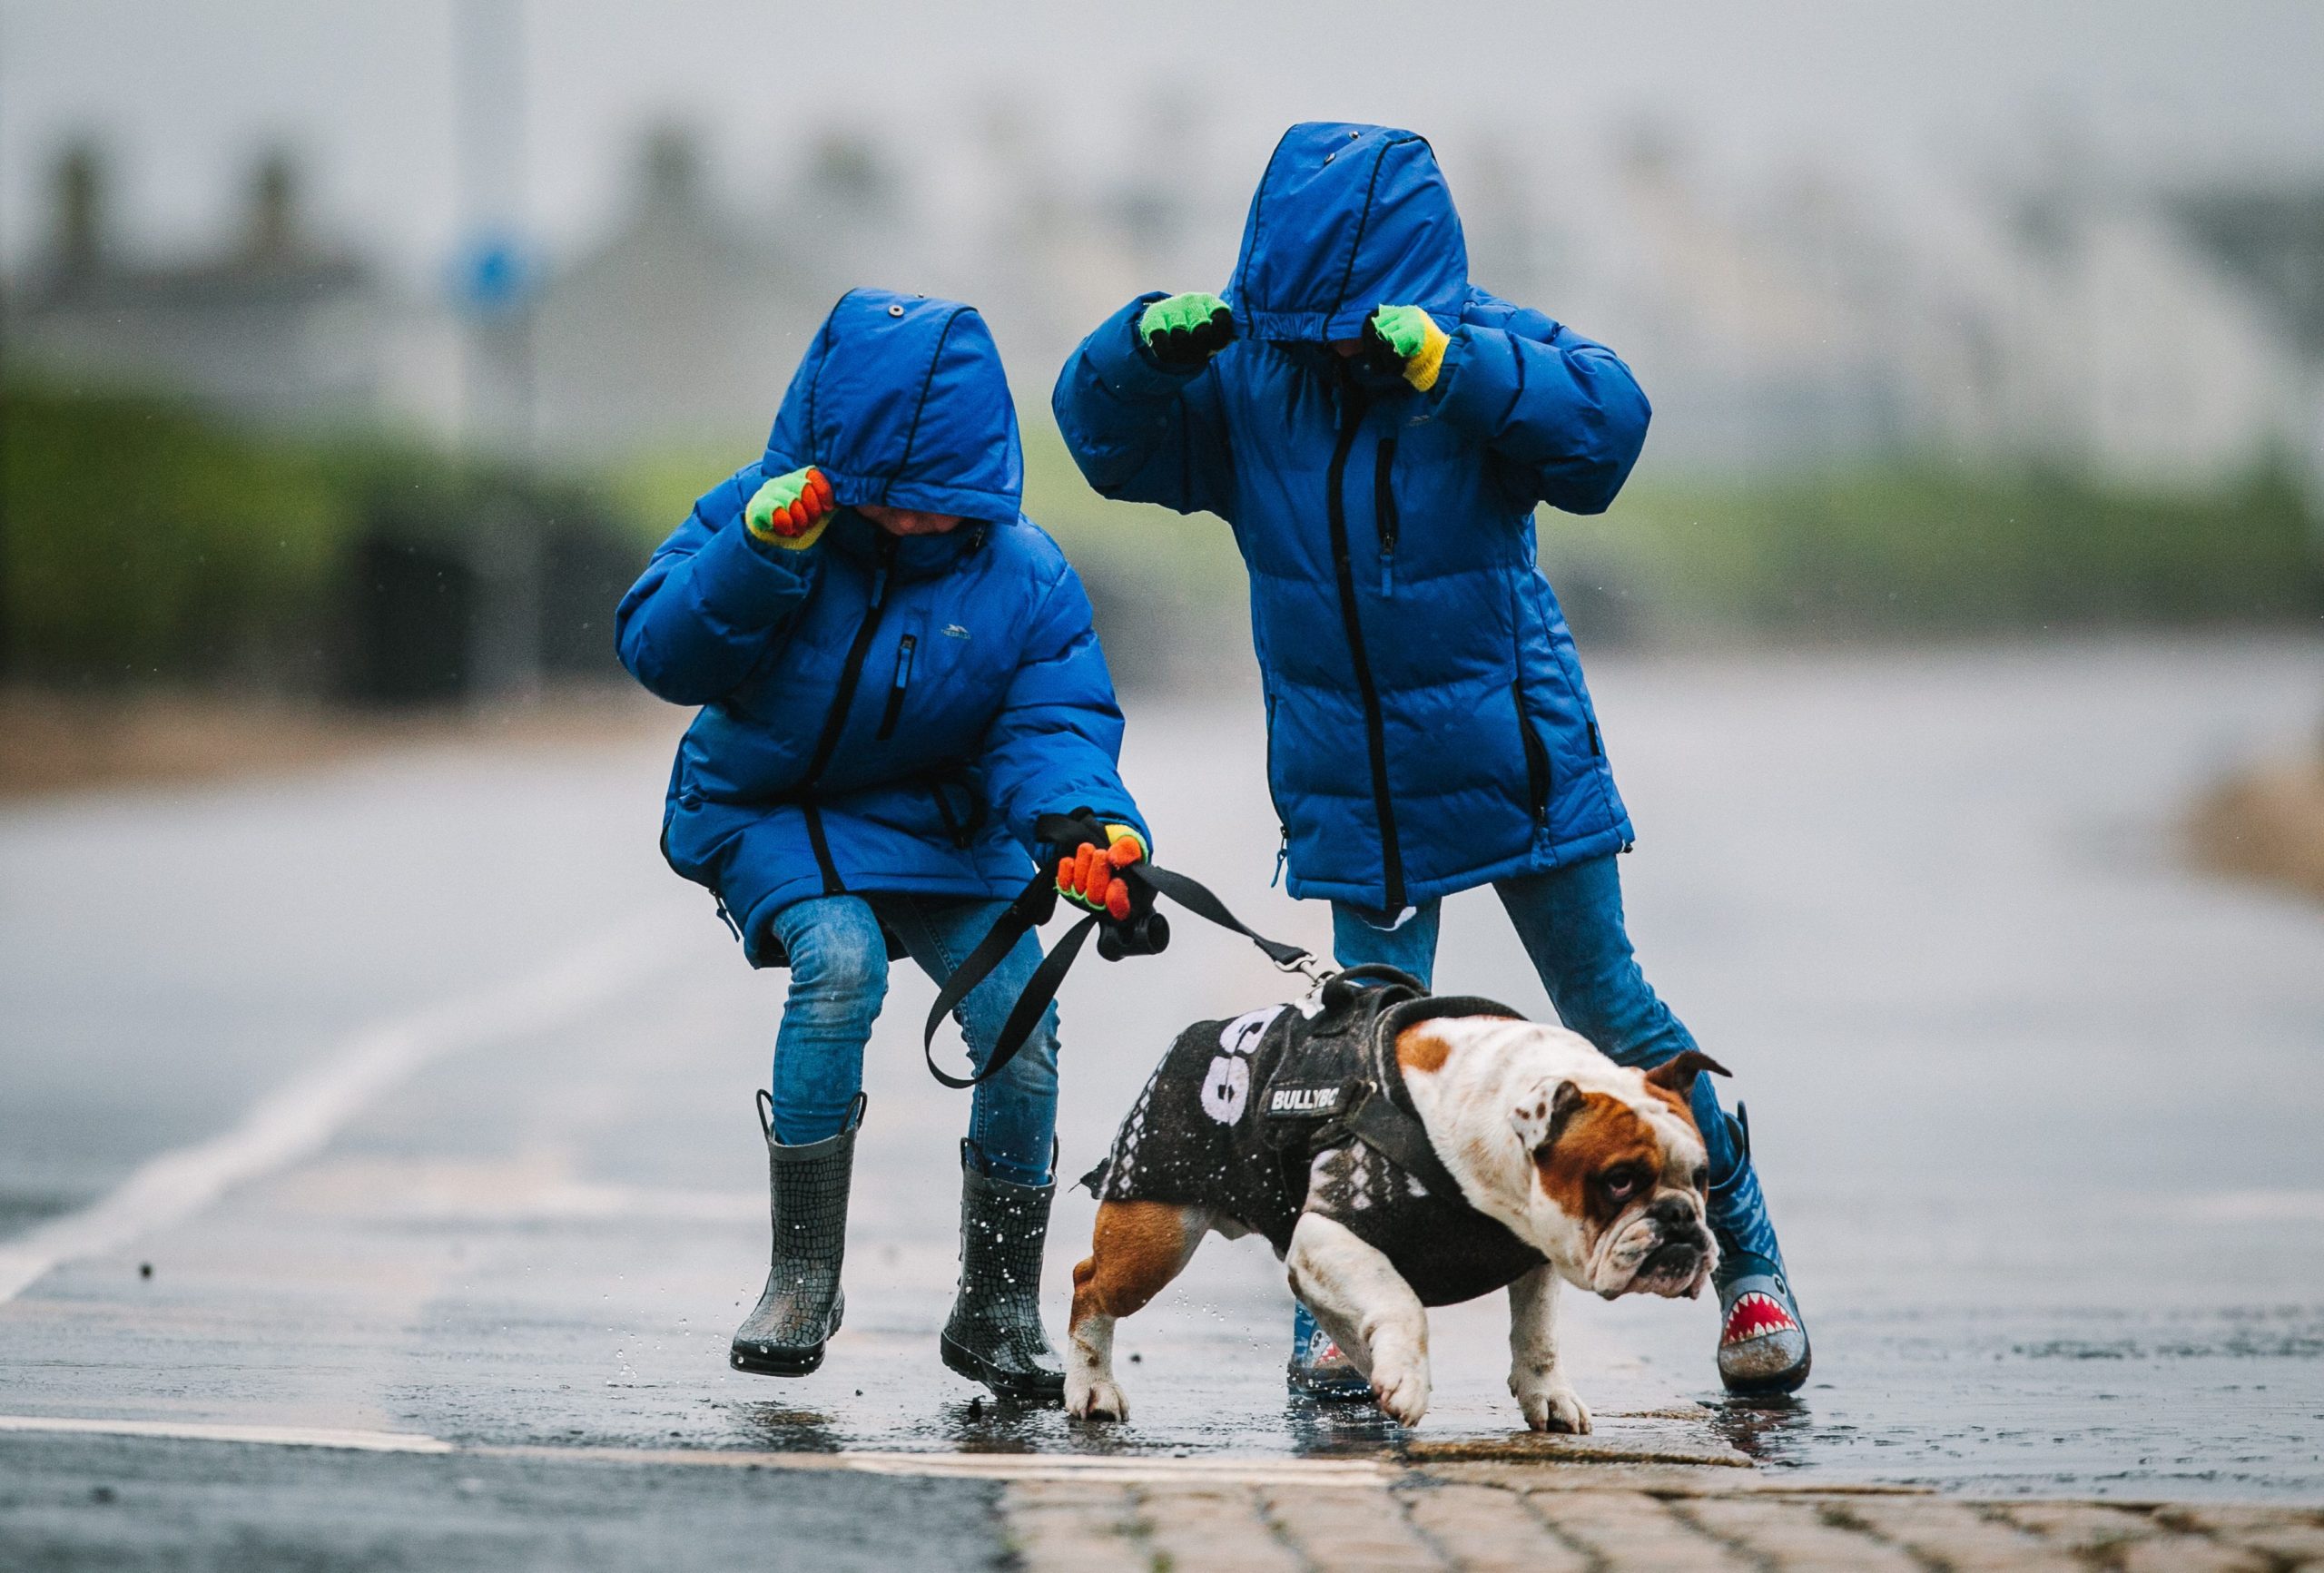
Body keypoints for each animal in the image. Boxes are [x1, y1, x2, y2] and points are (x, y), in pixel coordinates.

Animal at [1064, 1013, 1719, 1430]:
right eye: (1618, 1180)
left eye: (1703, 1175)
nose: (1681, 1217)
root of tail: (1196, 1037)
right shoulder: (1328, 1232)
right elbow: (1403, 1303)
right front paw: (1408, 1376)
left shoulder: (1533, 1251)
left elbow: (1538, 1335)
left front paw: (1549, 1396)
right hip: (1156, 1239)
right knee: (1089, 1284)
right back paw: (1092, 1386)